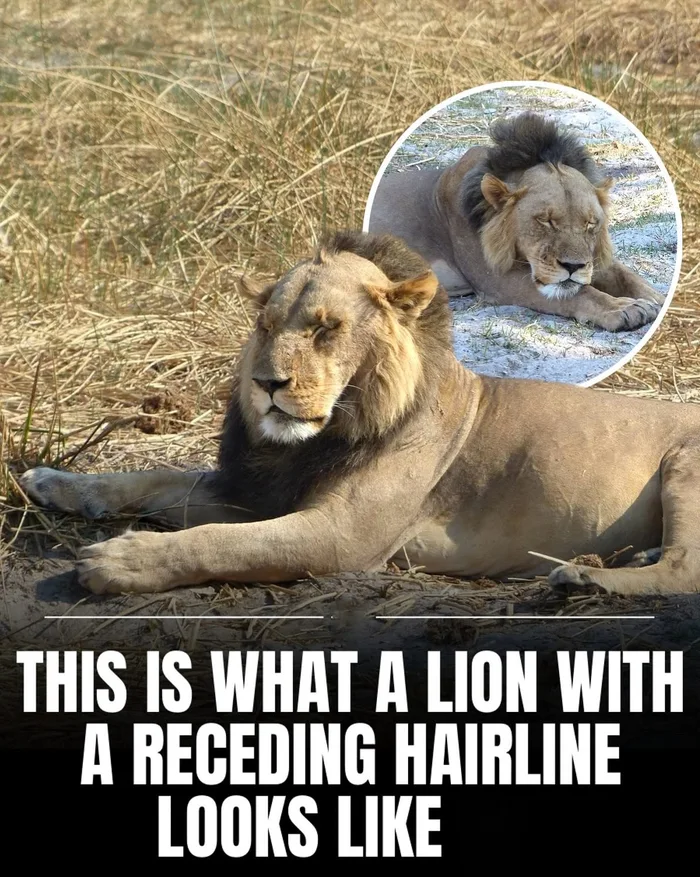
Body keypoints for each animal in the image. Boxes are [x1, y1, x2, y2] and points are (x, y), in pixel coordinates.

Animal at [18, 230, 700, 598]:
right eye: (266, 326)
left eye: (327, 330)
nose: (267, 384)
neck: (322, 436)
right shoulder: (262, 492)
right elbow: (156, 480)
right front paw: (54, 482)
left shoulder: (342, 535)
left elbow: (220, 543)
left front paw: (118, 561)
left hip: (683, 465)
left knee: (683, 570)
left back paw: (585, 579)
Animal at [367, 112, 666, 332]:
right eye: (545, 221)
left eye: (590, 224)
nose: (573, 266)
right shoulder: (498, 279)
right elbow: (580, 293)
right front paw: (624, 308)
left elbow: (624, 273)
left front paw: (657, 299)